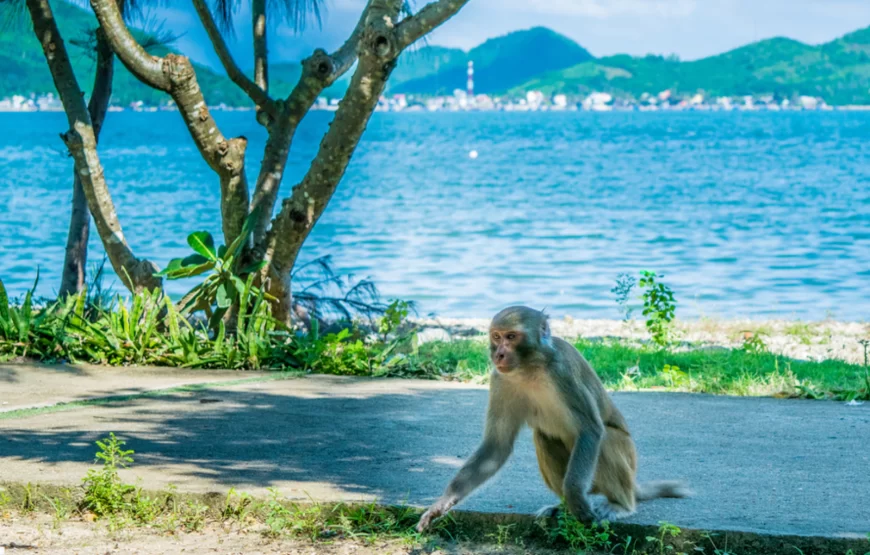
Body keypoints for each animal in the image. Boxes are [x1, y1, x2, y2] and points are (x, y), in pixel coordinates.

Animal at [418, 306, 692, 532]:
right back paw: (561, 507)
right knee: (544, 438)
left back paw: (619, 505)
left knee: (605, 440)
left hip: (624, 458)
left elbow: (590, 429)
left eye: (511, 337)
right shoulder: (500, 379)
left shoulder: (562, 372)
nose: (499, 355)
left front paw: (576, 500)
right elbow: (496, 446)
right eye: (496, 336)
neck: (530, 367)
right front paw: (441, 504)